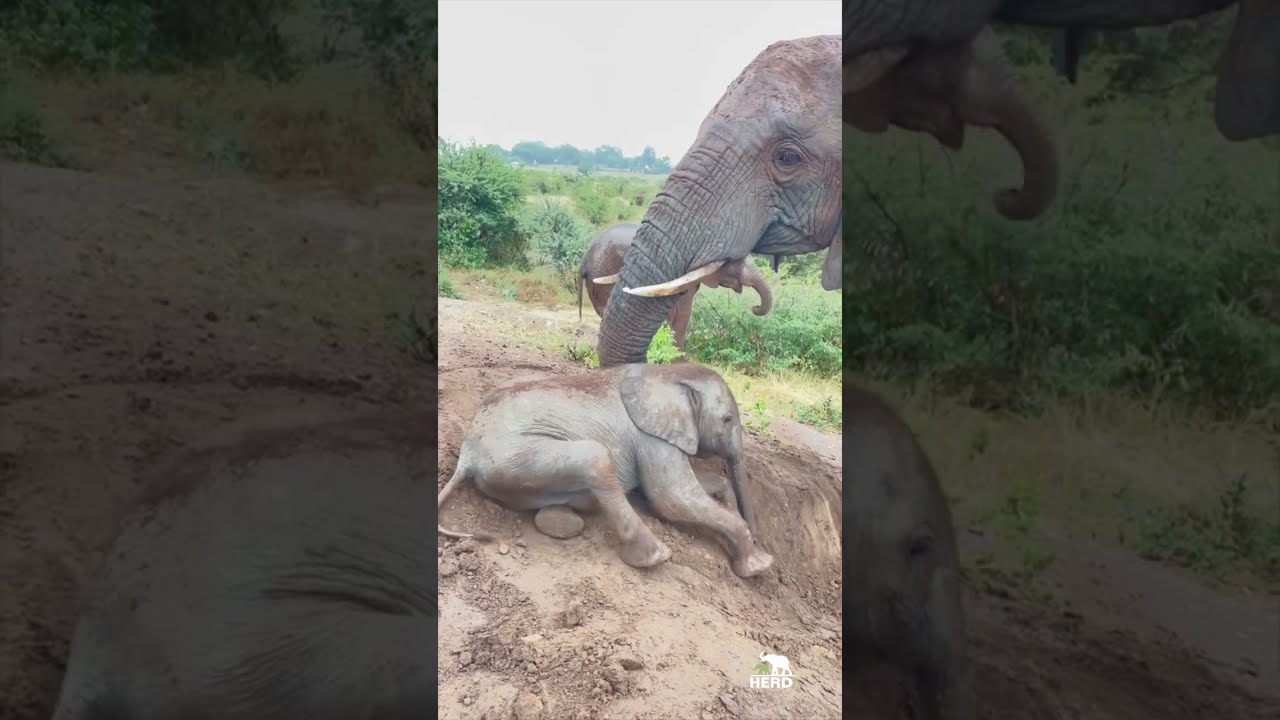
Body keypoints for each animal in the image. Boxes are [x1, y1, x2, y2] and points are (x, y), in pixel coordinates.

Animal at [437, 362, 775, 578]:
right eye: (728, 420)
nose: (760, 535)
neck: (666, 374)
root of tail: (466, 453)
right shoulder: (650, 435)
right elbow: (672, 499)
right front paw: (759, 566)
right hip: (512, 456)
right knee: (596, 459)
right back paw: (655, 556)